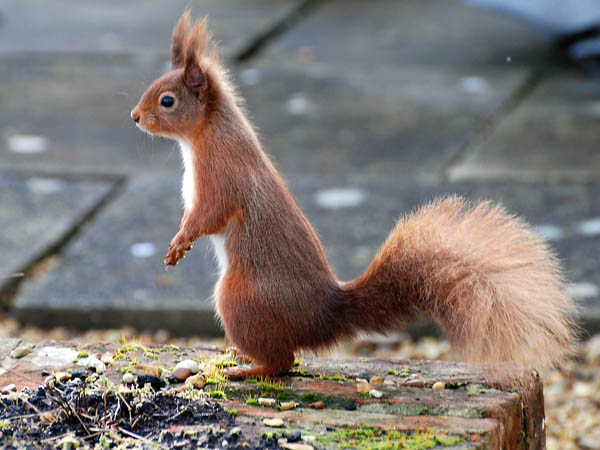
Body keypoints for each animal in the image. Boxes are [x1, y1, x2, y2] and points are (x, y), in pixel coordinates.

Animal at [131, 12, 576, 380]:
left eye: (168, 101)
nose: (135, 117)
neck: (205, 134)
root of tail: (321, 316)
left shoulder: (223, 177)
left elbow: (209, 215)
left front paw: (180, 242)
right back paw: (243, 357)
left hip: (239, 299)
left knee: (283, 361)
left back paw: (247, 369)